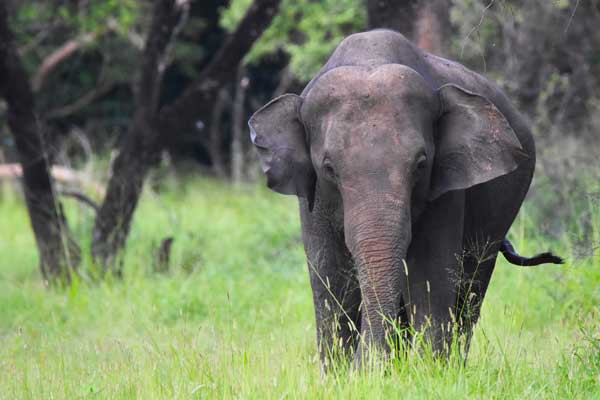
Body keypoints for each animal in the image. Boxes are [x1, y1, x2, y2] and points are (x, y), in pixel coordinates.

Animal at [247, 29, 564, 368]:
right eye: (329, 168)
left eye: (421, 164)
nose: (365, 365)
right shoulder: (314, 196)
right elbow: (331, 279)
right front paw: (345, 373)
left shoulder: (446, 189)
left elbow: (429, 274)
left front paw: (430, 372)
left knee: (471, 290)